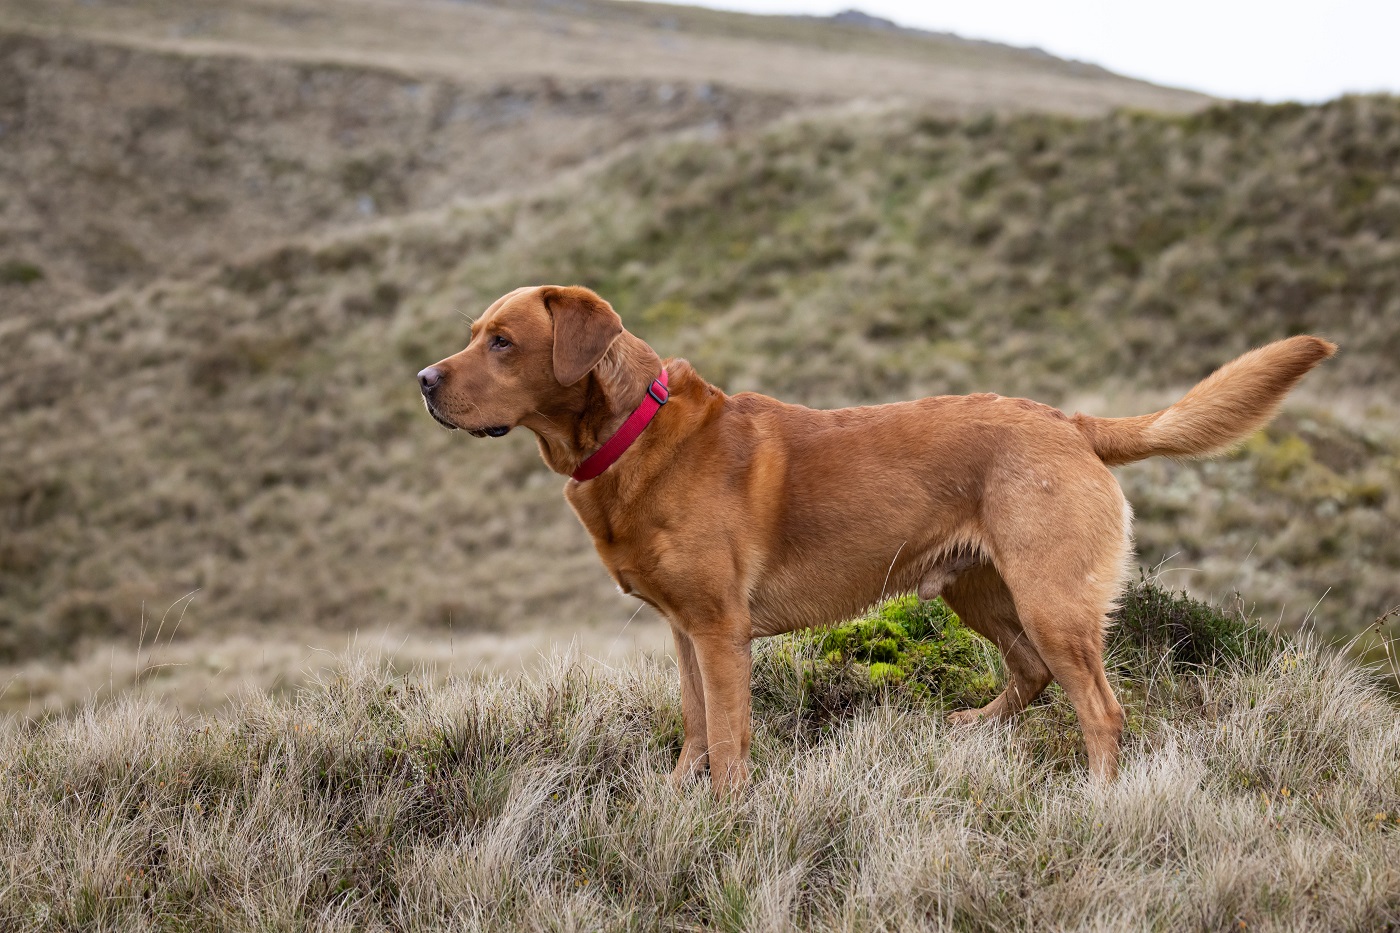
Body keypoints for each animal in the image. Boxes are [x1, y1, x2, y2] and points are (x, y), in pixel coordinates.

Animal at [420, 282, 1338, 790]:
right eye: (472, 335)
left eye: (503, 342)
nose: (423, 380)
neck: (631, 432)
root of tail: (1070, 422)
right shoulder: (683, 630)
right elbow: (692, 726)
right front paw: (680, 792)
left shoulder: (719, 631)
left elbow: (729, 736)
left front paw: (726, 816)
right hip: (981, 589)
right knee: (1031, 673)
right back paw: (974, 727)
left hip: (1051, 598)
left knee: (1102, 709)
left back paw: (1099, 797)